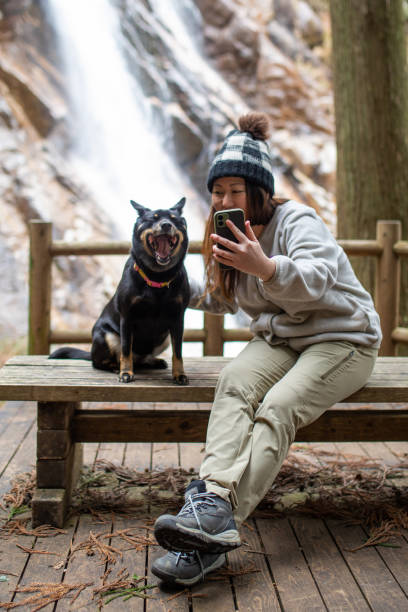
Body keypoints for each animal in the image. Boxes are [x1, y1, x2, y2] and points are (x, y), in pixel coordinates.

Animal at [50, 198, 190, 384]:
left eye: (175, 219)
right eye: (153, 218)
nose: (166, 225)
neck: (158, 277)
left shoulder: (177, 319)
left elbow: (178, 352)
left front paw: (179, 374)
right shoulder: (127, 317)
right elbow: (125, 350)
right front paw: (125, 373)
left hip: (164, 338)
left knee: (141, 359)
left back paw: (152, 361)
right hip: (106, 336)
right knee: (101, 362)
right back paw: (115, 367)